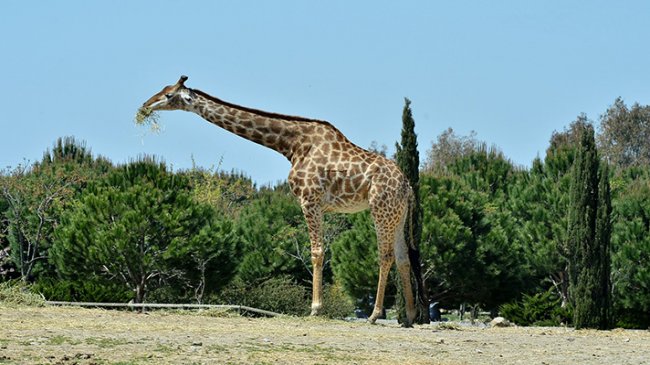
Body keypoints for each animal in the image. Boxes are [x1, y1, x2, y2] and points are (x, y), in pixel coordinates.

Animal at [141, 74, 422, 324]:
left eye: (169, 95)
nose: (145, 106)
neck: (291, 145)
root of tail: (407, 186)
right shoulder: (315, 204)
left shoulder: (310, 200)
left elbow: (317, 252)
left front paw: (315, 309)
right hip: (397, 214)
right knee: (403, 257)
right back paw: (409, 316)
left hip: (380, 208)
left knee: (385, 255)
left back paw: (375, 315)